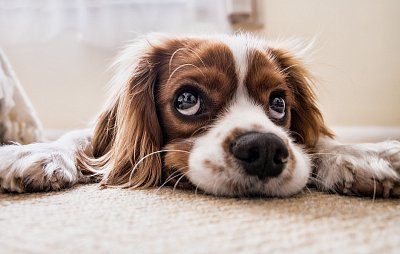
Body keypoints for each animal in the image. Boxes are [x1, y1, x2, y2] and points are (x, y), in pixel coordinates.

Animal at [0, 32, 400, 197]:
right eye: (187, 100)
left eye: (278, 104)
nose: (265, 149)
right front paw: (34, 153)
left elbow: (316, 144)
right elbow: (80, 139)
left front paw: (362, 155)